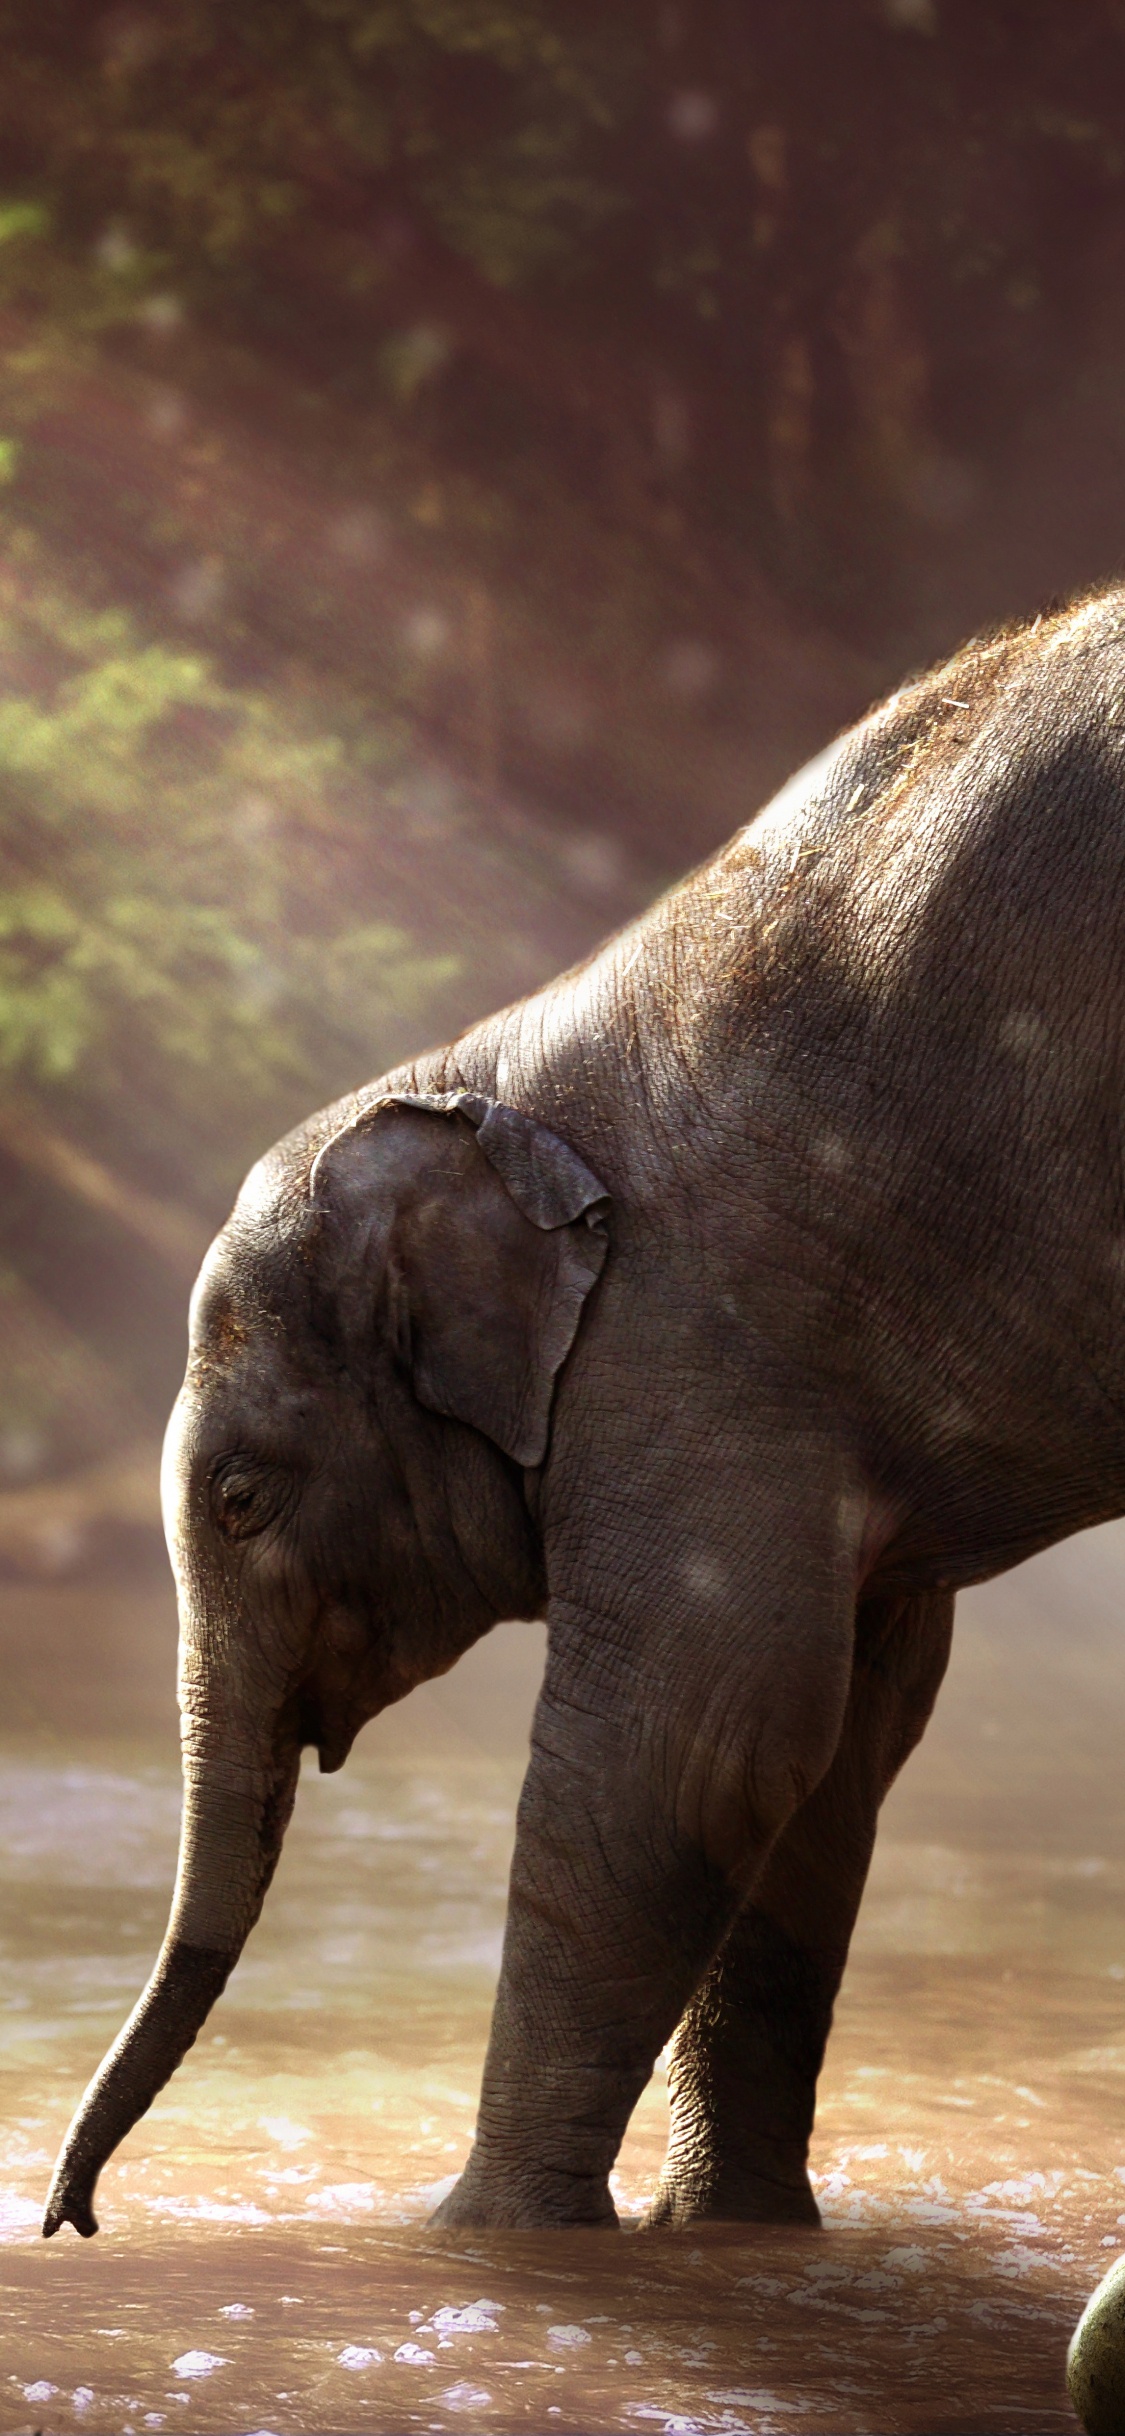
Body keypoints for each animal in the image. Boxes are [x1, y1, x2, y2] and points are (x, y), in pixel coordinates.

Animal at [42, 584, 1125, 2250]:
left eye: (240, 1498)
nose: (73, 2221)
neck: (487, 1075)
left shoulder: (700, 1346)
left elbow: (694, 1743)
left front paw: (479, 2240)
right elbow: (831, 1754)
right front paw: (726, 2239)